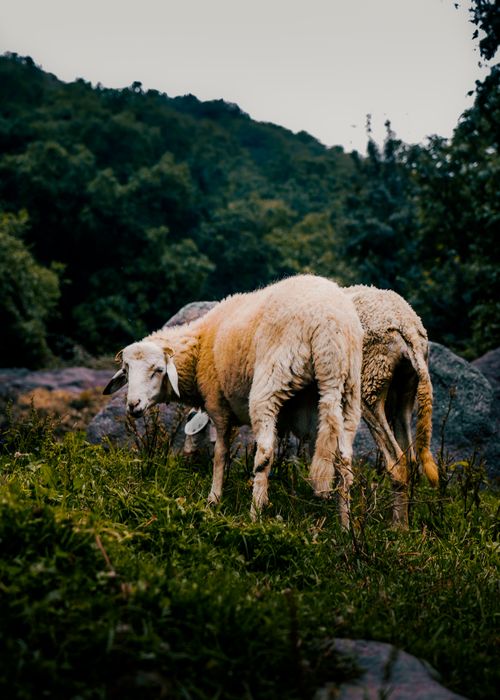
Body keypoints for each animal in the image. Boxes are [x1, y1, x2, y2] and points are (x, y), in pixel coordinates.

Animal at [103, 275, 363, 526]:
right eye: (126, 371)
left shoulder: (218, 405)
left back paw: (255, 515)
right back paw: (344, 526)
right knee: (344, 462)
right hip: (348, 392)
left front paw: (214, 498)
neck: (200, 348)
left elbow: (220, 454)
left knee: (265, 453)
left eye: (158, 370)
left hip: (272, 380)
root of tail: (328, 326)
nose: (133, 405)